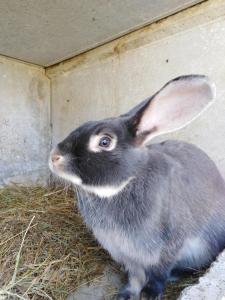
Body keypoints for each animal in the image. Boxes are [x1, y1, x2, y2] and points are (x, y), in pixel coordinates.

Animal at [48, 75, 225, 300]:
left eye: (104, 141)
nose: (54, 157)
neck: (125, 183)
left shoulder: (167, 250)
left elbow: (158, 274)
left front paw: (150, 294)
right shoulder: (127, 256)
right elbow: (135, 277)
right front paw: (125, 295)